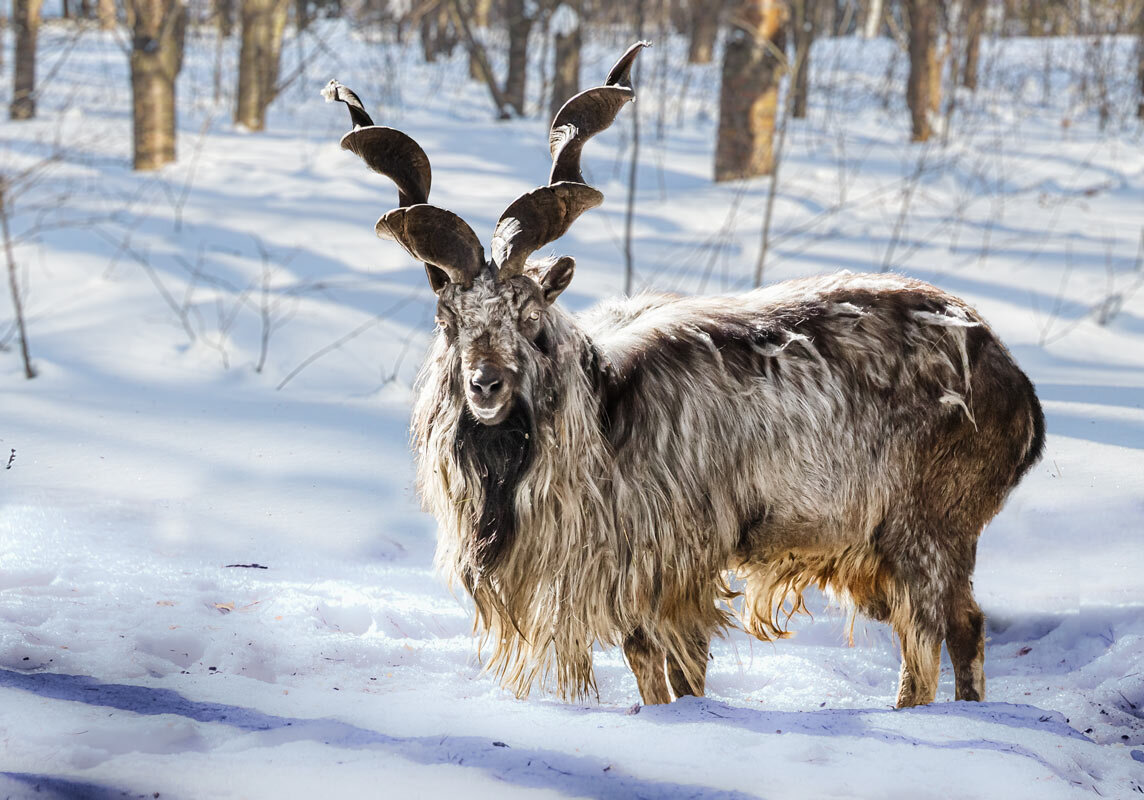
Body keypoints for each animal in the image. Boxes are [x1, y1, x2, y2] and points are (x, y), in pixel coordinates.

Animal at [324, 43, 1047, 705]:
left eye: (531, 318)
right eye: (448, 319)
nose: (486, 386)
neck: (604, 411)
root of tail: (1017, 390)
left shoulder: (676, 567)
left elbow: (684, 672)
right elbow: (652, 671)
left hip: (926, 535)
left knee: (937, 640)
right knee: (959, 630)